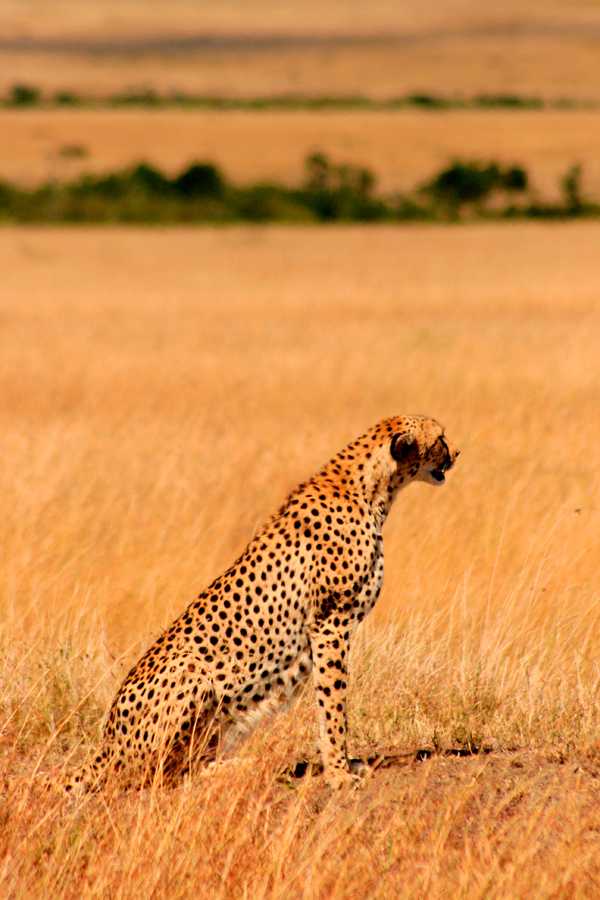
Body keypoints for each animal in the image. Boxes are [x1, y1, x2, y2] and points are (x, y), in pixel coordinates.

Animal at [62, 414, 460, 788]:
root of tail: (105, 744)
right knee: (160, 775)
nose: (457, 453)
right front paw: (337, 773)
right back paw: (250, 766)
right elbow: (333, 705)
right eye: (440, 437)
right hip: (190, 669)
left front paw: (344, 765)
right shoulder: (330, 623)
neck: (369, 490)